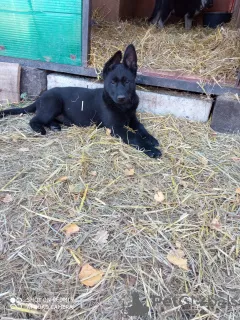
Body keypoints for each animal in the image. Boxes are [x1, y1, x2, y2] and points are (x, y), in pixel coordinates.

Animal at [0, 44, 161, 159]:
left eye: (127, 82)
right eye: (113, 82)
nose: (121, 98)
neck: (123, 107)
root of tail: (40, 97)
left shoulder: (132, 119)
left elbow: (141, 128)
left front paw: (151, 139)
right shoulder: (116, 128)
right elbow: (134, 136)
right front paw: (151, 149)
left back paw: (54, 126)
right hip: (53, 104)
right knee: (34, 119)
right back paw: (40, 129)